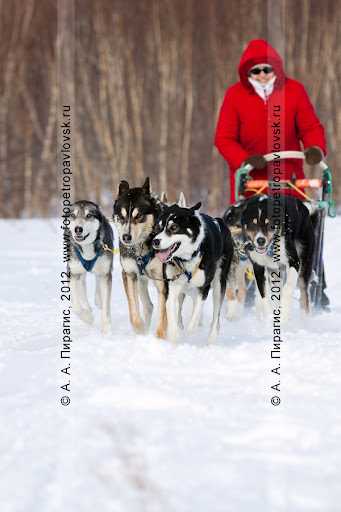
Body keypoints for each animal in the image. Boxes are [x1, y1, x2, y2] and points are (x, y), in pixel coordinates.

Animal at [67, 200, 113, 336]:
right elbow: (76, 305)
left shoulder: (105, 273)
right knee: (82, 287)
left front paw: (106, 328)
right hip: (79, 272)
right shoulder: (73, 273)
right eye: (73, 215)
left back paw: (97, 299)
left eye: (89, 215)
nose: (78, 229)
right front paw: (87, 317)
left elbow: (106, 305)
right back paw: (87, 307)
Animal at [113, 178, 167, 338]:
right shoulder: (129, 274)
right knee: (148, 306)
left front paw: (160, 337)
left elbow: (164, 313)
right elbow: (133, 308)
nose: (126, 237)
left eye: (139, 216)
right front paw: (140, 330)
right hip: (141, 280)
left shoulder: (162, 279)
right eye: (122, 216)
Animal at [152, 202, 234, 342]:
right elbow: (170, 309)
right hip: (182, 290)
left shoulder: (204, 288)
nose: (155, 241)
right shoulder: (173, 286)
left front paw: (190, 332)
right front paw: (175, 335)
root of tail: (219, 222)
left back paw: (211, 337)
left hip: (219, 284)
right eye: (159, 227)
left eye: (174, 227)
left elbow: (196, 313)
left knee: (215, 313)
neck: (187, 259)